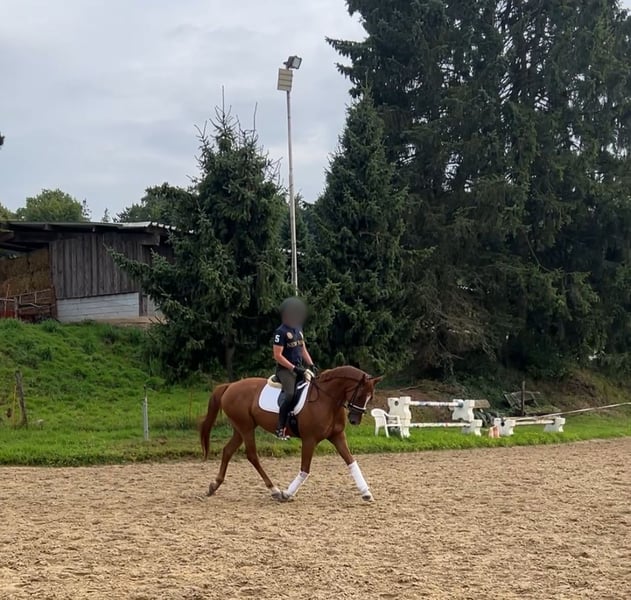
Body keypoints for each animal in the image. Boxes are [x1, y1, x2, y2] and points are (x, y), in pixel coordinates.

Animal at [200, 365, 383, 502]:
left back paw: (214, 485)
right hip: (246, 428)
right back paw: (274, 490)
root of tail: (230, 386)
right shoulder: (309, 439)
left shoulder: (337, 436)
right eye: (360, 394)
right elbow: (305, 469)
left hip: (240, 429)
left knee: (228, 451)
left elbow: (351, 461)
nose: (355, 420)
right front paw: (287, 493)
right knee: (252, 455)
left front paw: (366, 492)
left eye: (371, 396)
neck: (327, 400)